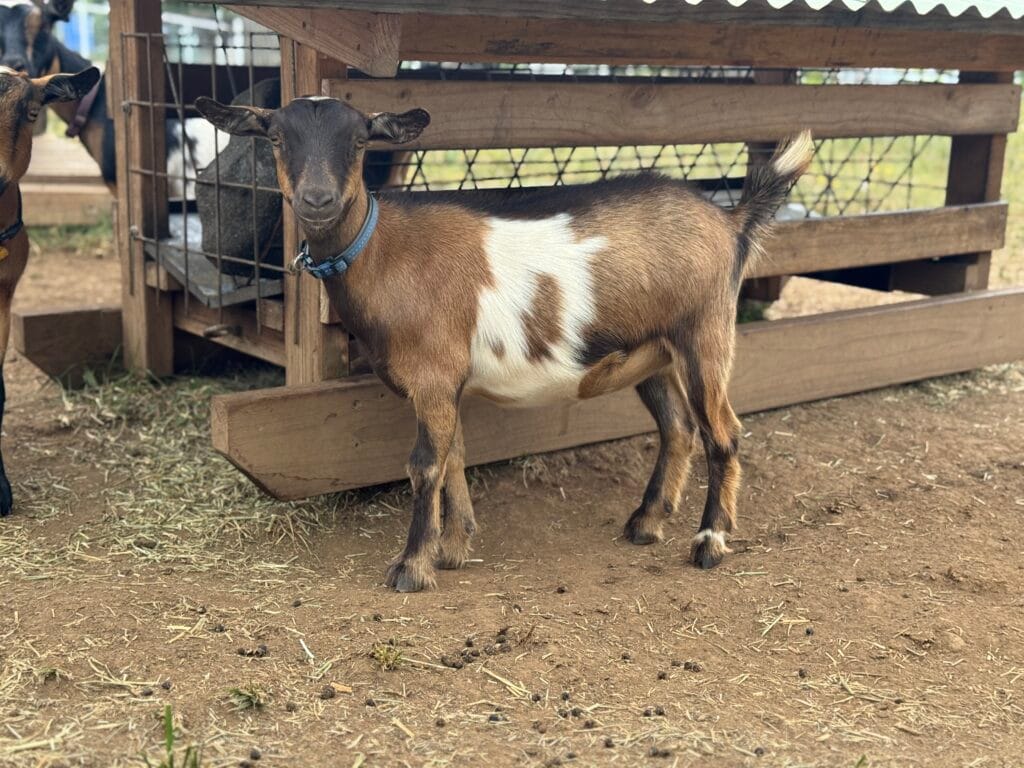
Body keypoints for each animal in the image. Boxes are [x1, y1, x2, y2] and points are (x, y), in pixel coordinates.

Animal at [196, 94, 813, 592]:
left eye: (360, 141)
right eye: (276, 137)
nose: (318, 200)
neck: (383, 251)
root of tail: (730, 220)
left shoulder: (433, 375)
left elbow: (424, 465)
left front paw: (411, 567)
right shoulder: (448, 383)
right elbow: (454, 457)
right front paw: (453, 549)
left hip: (704, 333)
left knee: (723, 432)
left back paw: (710, 542)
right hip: (653, 353)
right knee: (679, 428)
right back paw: (646, 523)